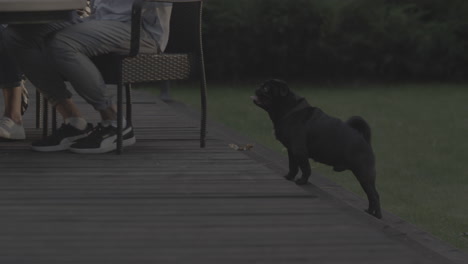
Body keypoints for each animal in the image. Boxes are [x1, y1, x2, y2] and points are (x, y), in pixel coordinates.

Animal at [252, 79, 380, 220]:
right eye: (262, 86)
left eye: (266, 88)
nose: (257, 88)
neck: (289, 110)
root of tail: (364, 139)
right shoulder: (292, 151)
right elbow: (293, 167)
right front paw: (289, 177)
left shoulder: (299, 151)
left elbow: (305, 169)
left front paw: (302, 181)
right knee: (373, 196)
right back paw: (373, 213)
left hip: (363, 174)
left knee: (374, 196)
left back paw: (375, 214)